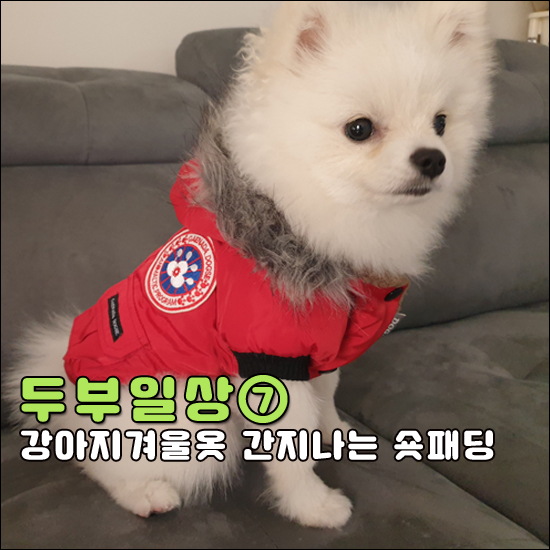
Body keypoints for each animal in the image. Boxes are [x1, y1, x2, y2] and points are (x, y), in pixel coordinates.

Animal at [5, 1, 494, 529]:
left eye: (441, 122)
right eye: (359, 129)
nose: (433, 159)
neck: (306, 225)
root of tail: (66, 389)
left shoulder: (318, 351)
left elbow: (326, 396)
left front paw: (335, 434)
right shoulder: (269, 356)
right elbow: (292, 444)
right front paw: (313, 505)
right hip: (188, 422)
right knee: (100, 461)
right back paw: (145, 494)